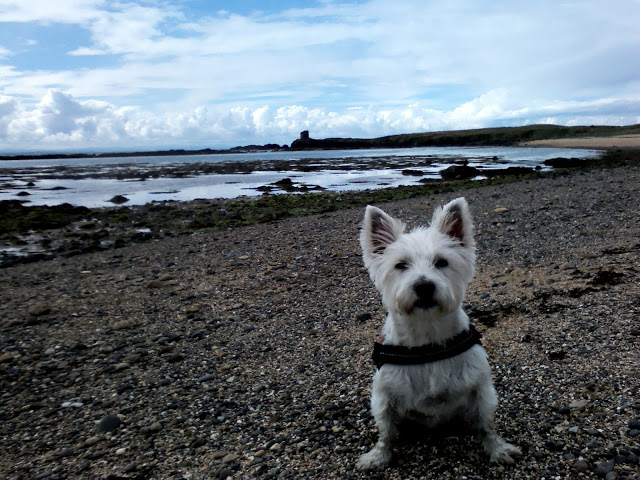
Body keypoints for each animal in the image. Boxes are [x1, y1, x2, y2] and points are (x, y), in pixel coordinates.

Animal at [358, 198, 524, 468]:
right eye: (400, 265)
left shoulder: (481, 389)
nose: (424, 286)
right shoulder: (383, 396)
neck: (428, 337)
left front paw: (498, 448)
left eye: (442, 262)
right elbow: (386, 431)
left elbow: (486, 424)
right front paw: (378, 456)